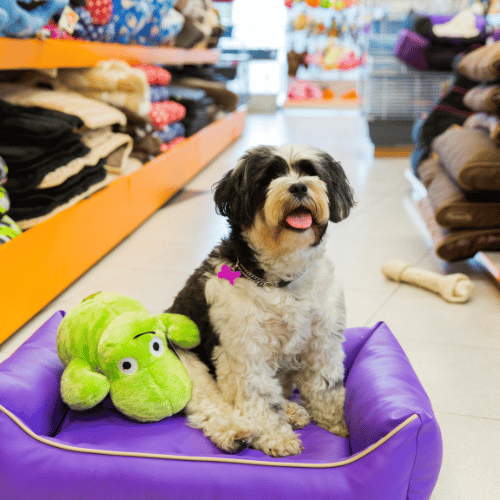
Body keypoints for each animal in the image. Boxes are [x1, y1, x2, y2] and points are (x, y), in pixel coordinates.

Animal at [168, 145, 356, 458]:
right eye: (268, 177)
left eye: (310, 172)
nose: (299, 186)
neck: (281, 281)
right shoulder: (246, 352)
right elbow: (260, 399)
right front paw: (276, 437)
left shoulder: (322, 343)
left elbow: (326, 389)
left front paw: (340, 425)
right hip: (186, 364)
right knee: (210, 404)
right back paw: (236, 431)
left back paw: (292, 411)